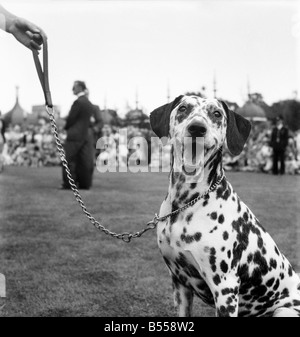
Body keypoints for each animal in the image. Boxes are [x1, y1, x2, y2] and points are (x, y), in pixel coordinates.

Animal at [150, 94, 300, 316]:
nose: (197, 128)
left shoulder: (225, 289)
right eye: (183, 108)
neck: (186, 203)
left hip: (284, 310)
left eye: (217, 113)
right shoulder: (180, 282)